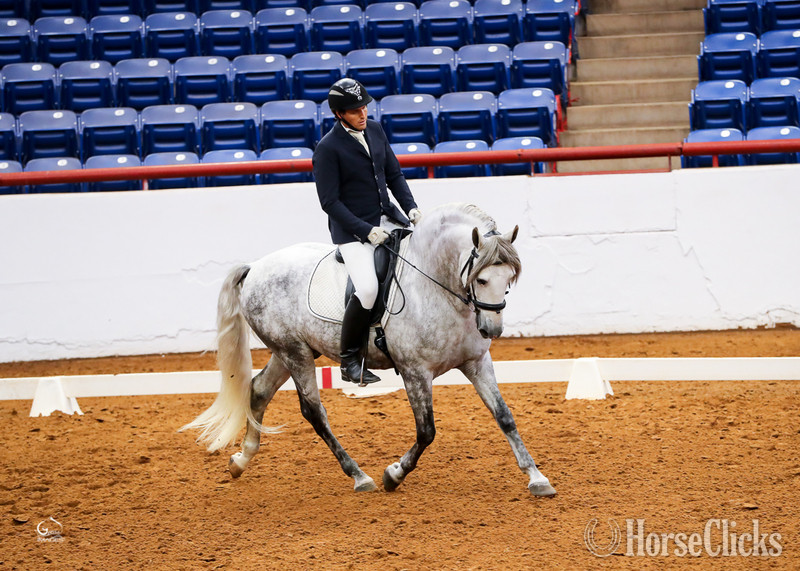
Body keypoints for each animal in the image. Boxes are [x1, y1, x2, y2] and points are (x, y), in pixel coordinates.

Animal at [181, 203, 556, 497]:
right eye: (481, 279)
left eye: (509, 279)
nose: (492, 329)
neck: (435, 285)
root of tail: (255, 267)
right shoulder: (415, 372)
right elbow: (427, 431)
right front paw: (394, 474)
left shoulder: (477, 362)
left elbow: (505, 417)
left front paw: (537, 478)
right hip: (294, 354)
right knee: (314, 412)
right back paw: (359, 476)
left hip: (290, 351)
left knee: (258, 390)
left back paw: (240, 461)